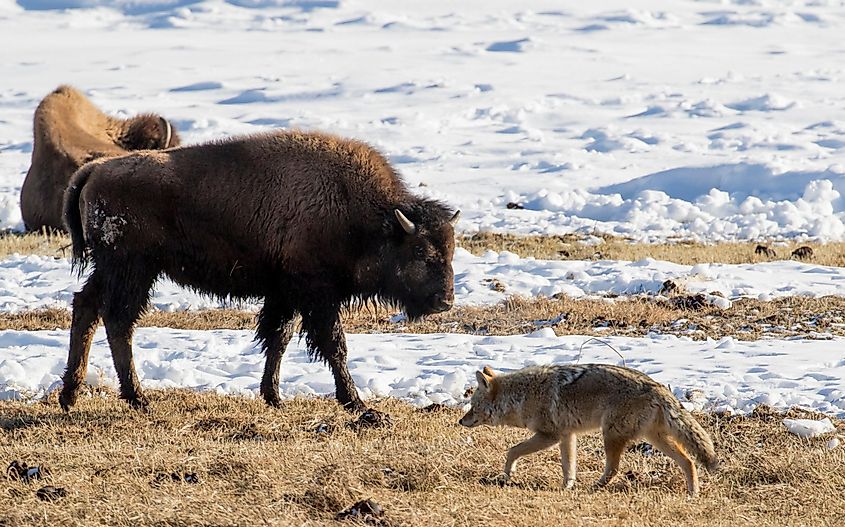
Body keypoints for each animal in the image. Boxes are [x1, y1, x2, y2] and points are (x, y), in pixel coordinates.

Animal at [60, 130, 462, 414]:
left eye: (451, 250)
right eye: (420, 252)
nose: (444, 301)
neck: (362, 215)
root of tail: (96, 170)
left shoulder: (285, 294)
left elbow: (278, 339)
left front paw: (273, 397)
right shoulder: (316, 295)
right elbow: (334, 346)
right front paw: (358, 405)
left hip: (113, 269)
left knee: (87, 307)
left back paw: (70, 396)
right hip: (133, 269)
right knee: (118, 320)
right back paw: (137, 398)